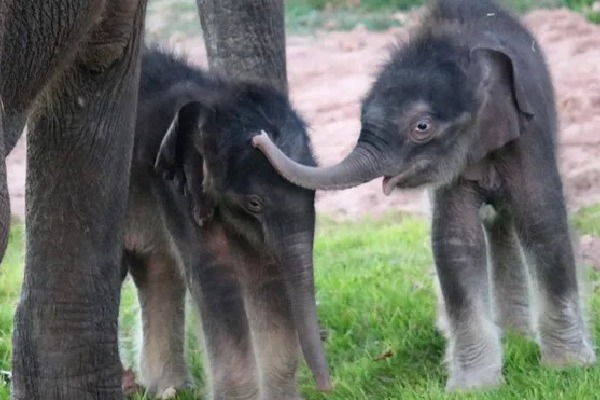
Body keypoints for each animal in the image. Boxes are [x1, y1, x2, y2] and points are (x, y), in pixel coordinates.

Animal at [119, 45, 330, 398]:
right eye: (254, 203)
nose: (327, 386)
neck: (211, 96)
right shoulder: (175, 187)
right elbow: (216, 275)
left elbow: (264, 274)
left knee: (157, 269)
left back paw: (168, 388)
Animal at [250, 0, 596, 392]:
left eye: (422, 127)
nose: (258, 138)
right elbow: (455, 241)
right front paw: (474, 387)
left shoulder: (529, 134)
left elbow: (542, 221)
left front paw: (568, 368)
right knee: (495, 224)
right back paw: (509, 335)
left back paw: (518, 337)